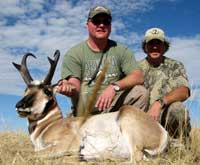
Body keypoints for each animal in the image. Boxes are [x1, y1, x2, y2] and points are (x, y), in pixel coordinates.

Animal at [13, 50, 168, 162]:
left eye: (47, 91)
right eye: (26, 90)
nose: (19, 105)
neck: (50, 124)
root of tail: (163, 132)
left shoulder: (66, 143)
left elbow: (27, 154)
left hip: (129, 124)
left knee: (135, 159)